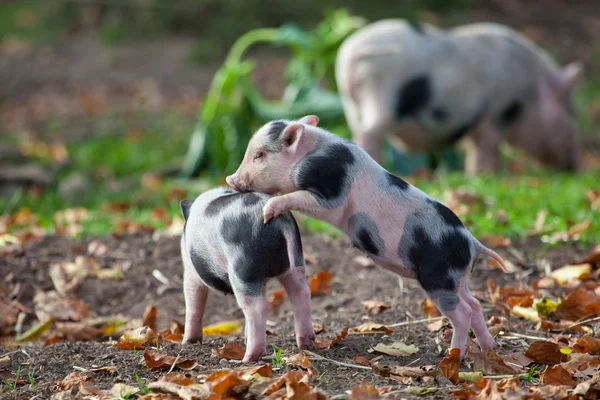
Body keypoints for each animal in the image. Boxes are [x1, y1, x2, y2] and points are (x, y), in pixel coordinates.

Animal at [180, 188, 316, 362]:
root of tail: (279, 221)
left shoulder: (190, 270)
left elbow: (194, 304)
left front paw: (187, 342)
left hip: (242, 270)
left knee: (257, 306)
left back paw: (247, 358)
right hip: (294, 261)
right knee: (301, 292)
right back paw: (306, 344)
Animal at [227, 116, 512, 356]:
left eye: (260, 155)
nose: (230, 179)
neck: (313, 152)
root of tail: (472, 243)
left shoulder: (330, 191)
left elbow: (301, 199)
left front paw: (267, 211)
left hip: (439, 277)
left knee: (463, 312)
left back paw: (453, 356)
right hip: (457, 278)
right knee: (475, 304)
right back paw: (489, 348)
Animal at [332, 19, 580, 174]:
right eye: (571, 113)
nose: (574, 168)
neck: (532, 90)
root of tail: (353, 52)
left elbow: (474, 147)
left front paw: (476, 174)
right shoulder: (497, 113)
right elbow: (489, 147)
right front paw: (490, 174)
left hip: (350, 102)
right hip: (383, 94)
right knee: (369, 132)